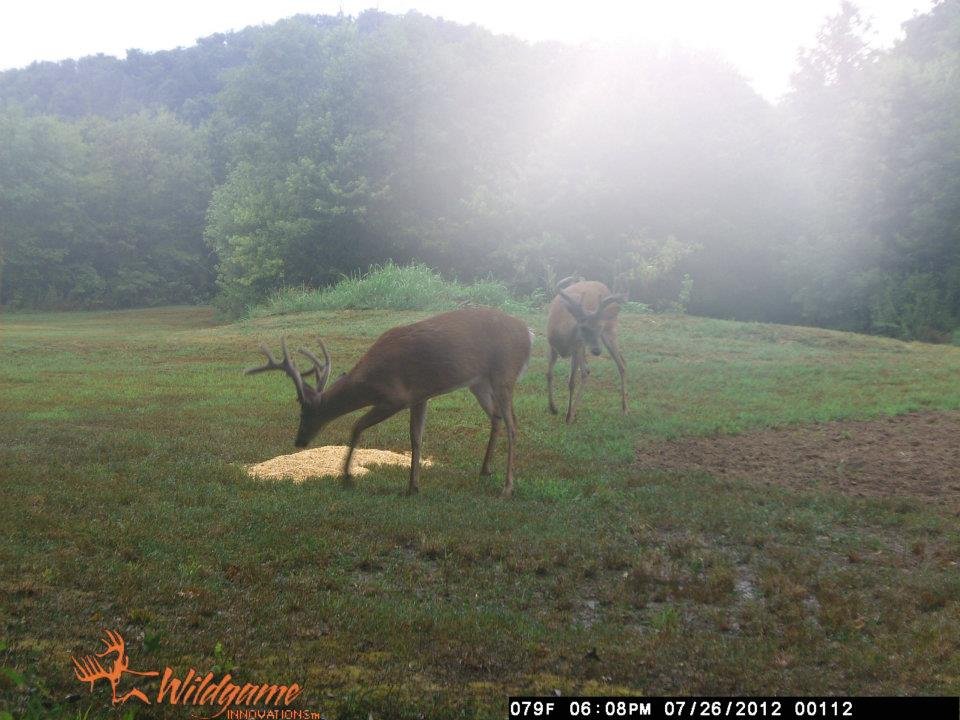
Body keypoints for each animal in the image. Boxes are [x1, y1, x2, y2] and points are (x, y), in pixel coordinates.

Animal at [246, 307, 533, 497]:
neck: (369, 381)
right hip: (479, 382)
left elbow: (357, 426)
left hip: (504, 373)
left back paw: (507, 487)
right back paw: (485, 470)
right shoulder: (421, 396)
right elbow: (416, 439)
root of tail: (529, 333)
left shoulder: (396, 397)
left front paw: (347, 475)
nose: (299, 441)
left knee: (514, 424)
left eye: (304, 411)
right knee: (496, 416)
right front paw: (413, 486)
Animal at [546, 277, 627, 423]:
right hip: (584, 348)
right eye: (583, 327)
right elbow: (549, 374)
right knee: (589, 370)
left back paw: (625, 409)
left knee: (621, 365)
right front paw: (553, 408)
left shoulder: (576, 347)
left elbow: (572, 382)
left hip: (610, 331)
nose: (597, 350)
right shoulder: (552, 346)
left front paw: (568, 416)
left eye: (599, 327)